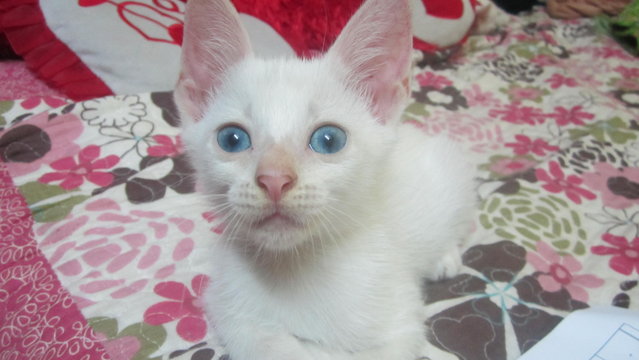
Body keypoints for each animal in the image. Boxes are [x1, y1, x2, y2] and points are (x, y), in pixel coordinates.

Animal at [175, 0, 476, 360]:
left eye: (329, 140)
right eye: (232, 139)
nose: (274, 179)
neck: (295, 267)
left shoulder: (400, 323)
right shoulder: (229, 307)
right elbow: (271, 345)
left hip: (453, 174)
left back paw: (445, 257)